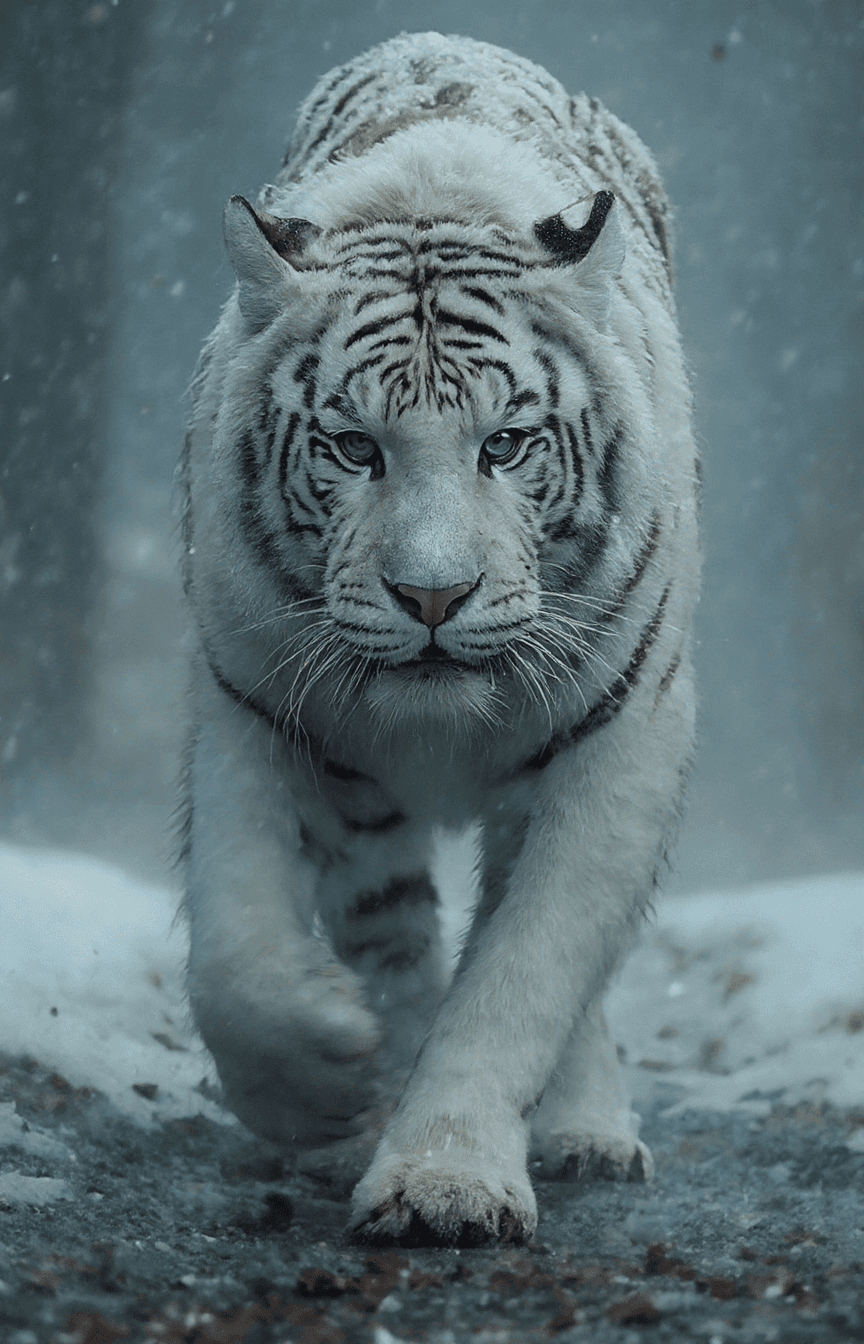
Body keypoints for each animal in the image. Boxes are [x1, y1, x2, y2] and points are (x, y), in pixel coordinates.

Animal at [179, 31, 699, 1246]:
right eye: (353, 448)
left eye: (504, 445)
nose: (431, 596)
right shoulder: (249, 700)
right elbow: (235, 951)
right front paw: (328, 1072)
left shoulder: (621, 743)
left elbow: (525, 976)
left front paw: (446, 1183)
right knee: (393, 933)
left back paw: (587, 1133)